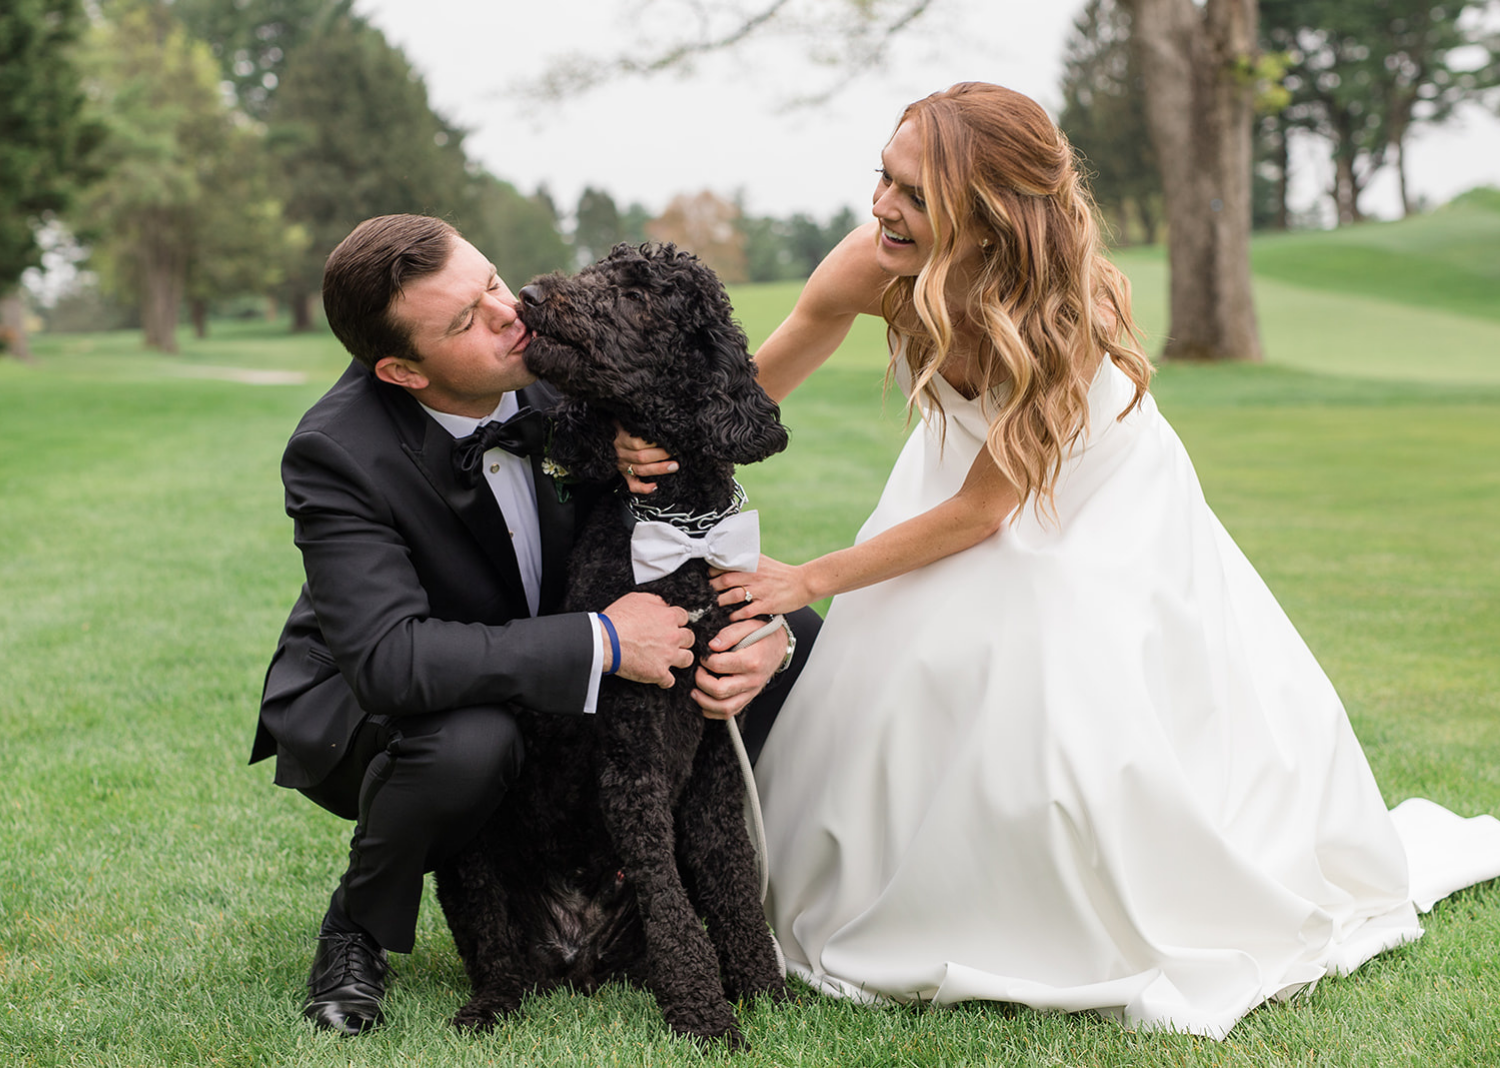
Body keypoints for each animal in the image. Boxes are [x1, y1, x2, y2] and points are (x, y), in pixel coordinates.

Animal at [429, 244, 792, 1050]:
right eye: (599, 269)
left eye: (635, 295)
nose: (531, 293)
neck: (684, 530)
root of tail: (575, 961)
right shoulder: (634, 762)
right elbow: (673, 906)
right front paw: (707, 1016)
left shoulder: (715, 757)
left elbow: (731, 883)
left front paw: (765, 992)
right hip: (473, 855)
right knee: (495, 950)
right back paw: (489, 1006)